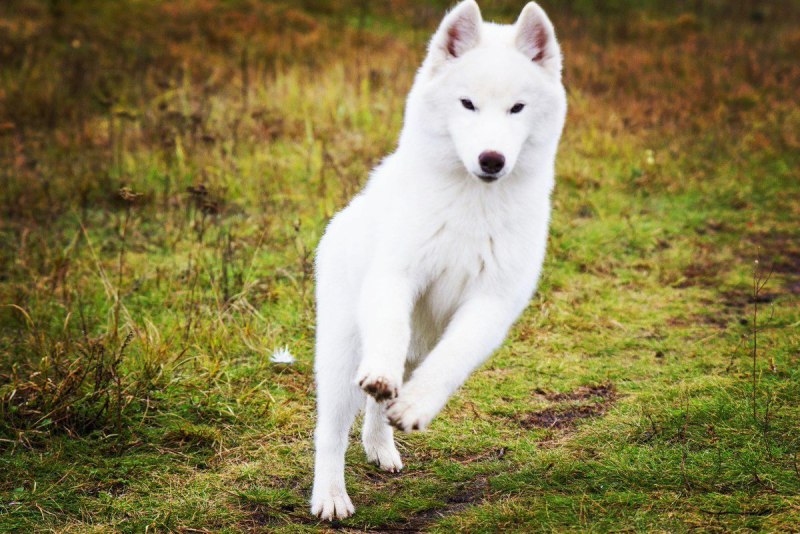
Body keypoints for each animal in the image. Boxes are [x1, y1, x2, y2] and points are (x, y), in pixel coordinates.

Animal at [310, 0, 564, 520]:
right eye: (467, 104)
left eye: (517, 108)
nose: (491, 159)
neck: (473, 204)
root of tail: (341, 218)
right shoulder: (396, 276)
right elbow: (386, 339)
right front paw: (383, 382)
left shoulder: (491, 305)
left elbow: (451, 361)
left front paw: (414, 408)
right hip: (343, 351)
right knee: (330, 430)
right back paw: (330, 497)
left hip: (417, 346)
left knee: (378, 406)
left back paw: (381, 445)